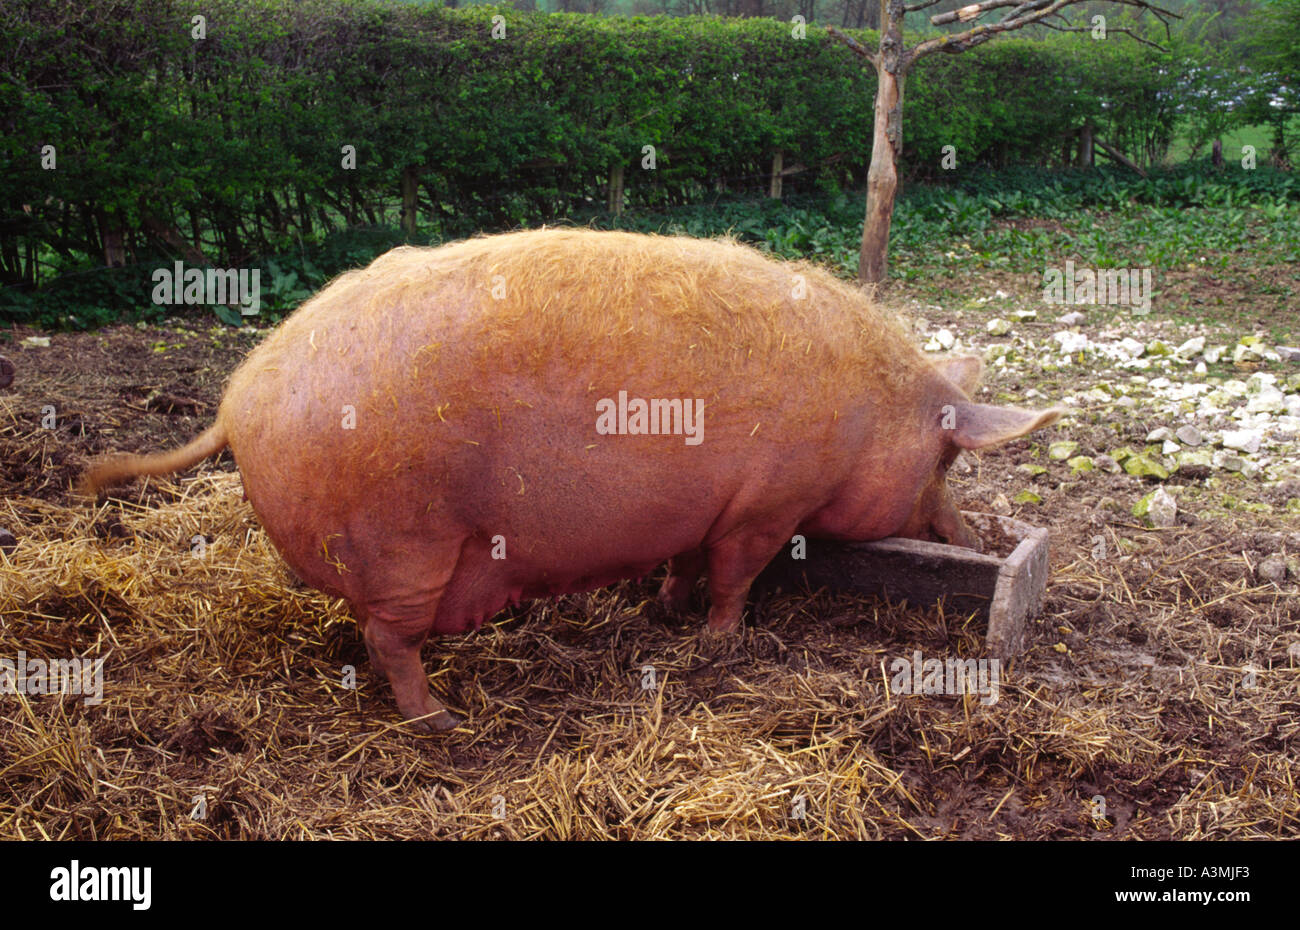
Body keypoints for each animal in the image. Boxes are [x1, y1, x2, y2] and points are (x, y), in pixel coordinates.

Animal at [78, 228, 1055, 733]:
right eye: (947, 460)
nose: (975, 539)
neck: (867, 417)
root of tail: (239, 395)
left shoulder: (705, 511)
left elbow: (687, 564)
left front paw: (665, 614)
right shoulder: (767, 504)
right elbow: (736, 578)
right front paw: (719, 646)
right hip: (404, 543)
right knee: (389, 642)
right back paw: (441, 723)